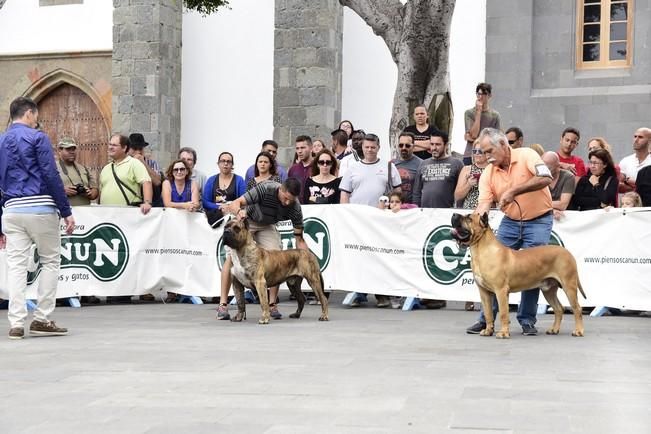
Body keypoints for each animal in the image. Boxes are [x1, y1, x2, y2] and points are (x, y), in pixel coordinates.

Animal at [454, 212, 584, 338]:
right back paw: (554, 329)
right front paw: (488, 331)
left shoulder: (501, 291)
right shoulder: (484, 292)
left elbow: (503, 314)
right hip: (548, 290)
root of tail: (567, 252)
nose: (454, 214)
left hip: (569, 286)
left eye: (469, 218)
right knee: (559, 309)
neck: (481, 250)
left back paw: (578, 331)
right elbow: (488, 313)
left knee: (577, 308)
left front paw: (504, 333)